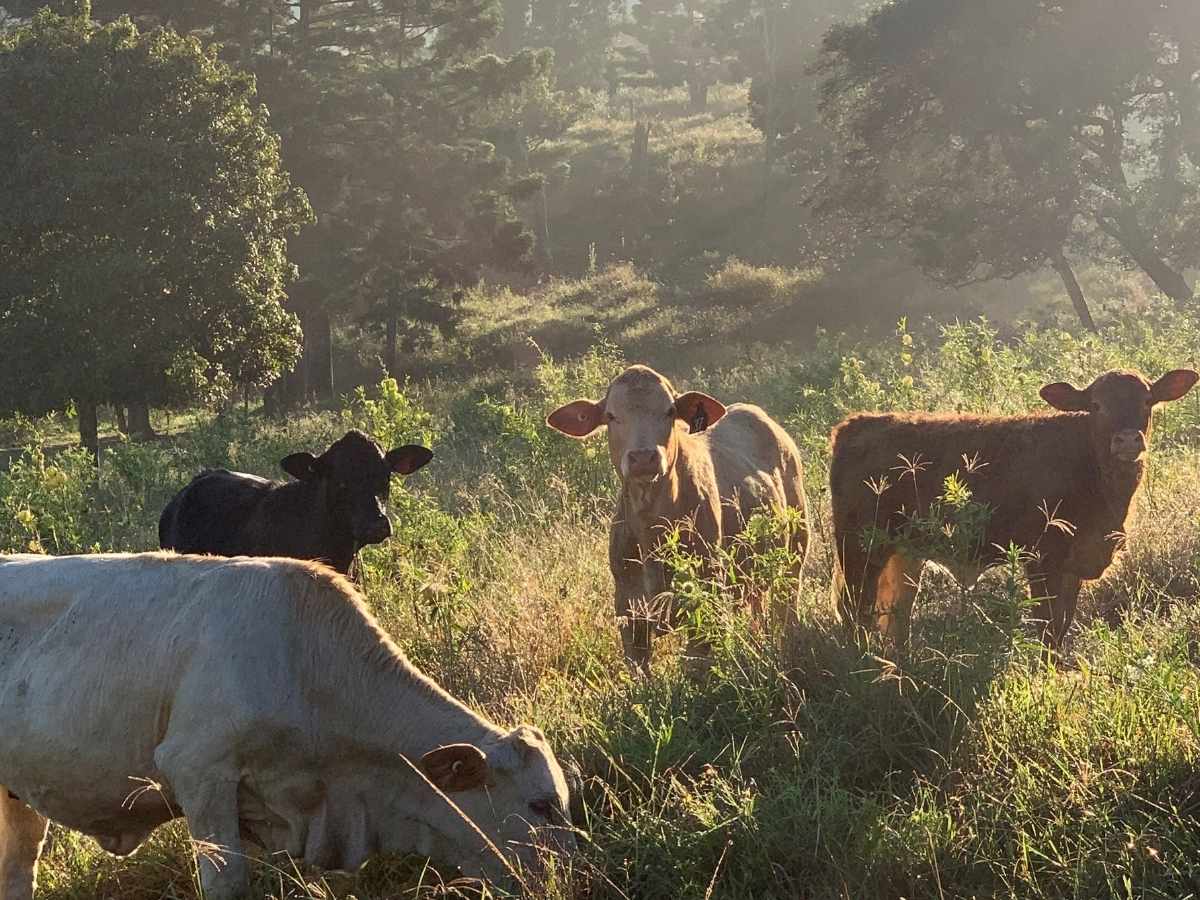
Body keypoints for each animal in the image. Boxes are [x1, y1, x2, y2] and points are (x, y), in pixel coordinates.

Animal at [546, 364, 809, 668]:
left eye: (670, 411)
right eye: (611, 416)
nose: (643, 457)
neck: (652, 530)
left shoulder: (707, 597)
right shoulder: (628, 610)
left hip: (796, 552)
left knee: (786, 608)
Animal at [829, 367, 1198, 651]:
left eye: (1148, 400)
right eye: (1096, 405)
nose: (1127, 440)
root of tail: (856, 424)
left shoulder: (1073, 567)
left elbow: (1063, 625)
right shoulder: (1043, 561)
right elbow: (1048, 628)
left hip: (904, 554)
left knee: (895, 615)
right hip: (860, 549)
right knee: (856, 611)